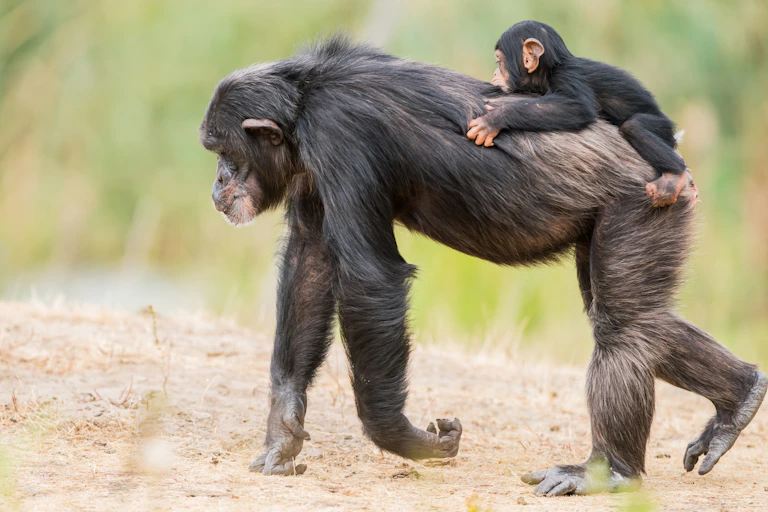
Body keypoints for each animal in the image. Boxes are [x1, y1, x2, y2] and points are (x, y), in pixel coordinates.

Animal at [467, 20, 691, 208]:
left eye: (499, 62)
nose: (495, 73)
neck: (551, 69)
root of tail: (674, 135)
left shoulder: (568, 76)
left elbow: (579, 107)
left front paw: (495, 119)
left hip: (661, 127)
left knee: (634, 127)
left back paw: (673, 177)